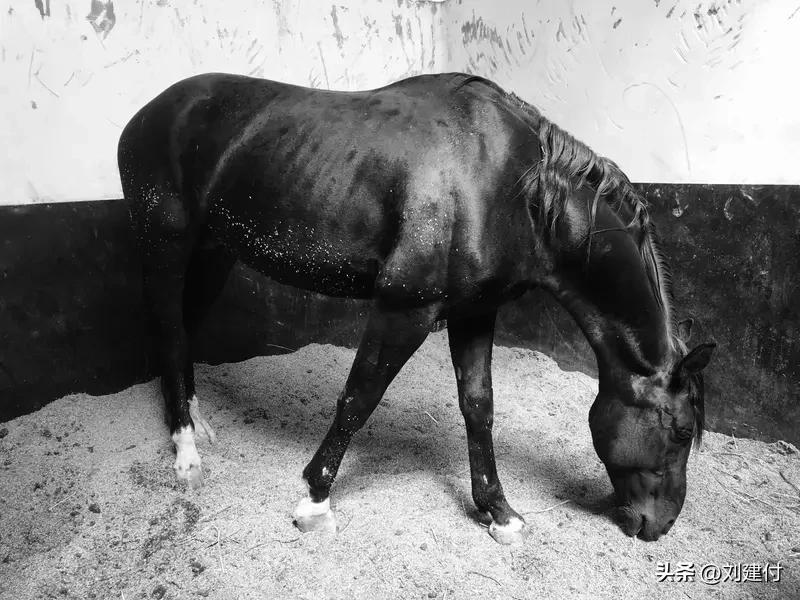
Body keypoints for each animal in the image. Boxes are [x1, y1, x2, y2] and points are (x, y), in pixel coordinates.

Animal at [117, 72, 714, 545]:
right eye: (683, 432)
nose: (659, 525)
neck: (508, 186)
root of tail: (146, 114)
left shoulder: (475, 313)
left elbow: (479, 407)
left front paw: (499, 512)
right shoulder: (405, 309)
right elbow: (358, 398)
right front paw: (315, 501)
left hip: (213, 252)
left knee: (185, 330)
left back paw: (197, 422)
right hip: (165, 245)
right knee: (169, 329)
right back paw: (185, 451)